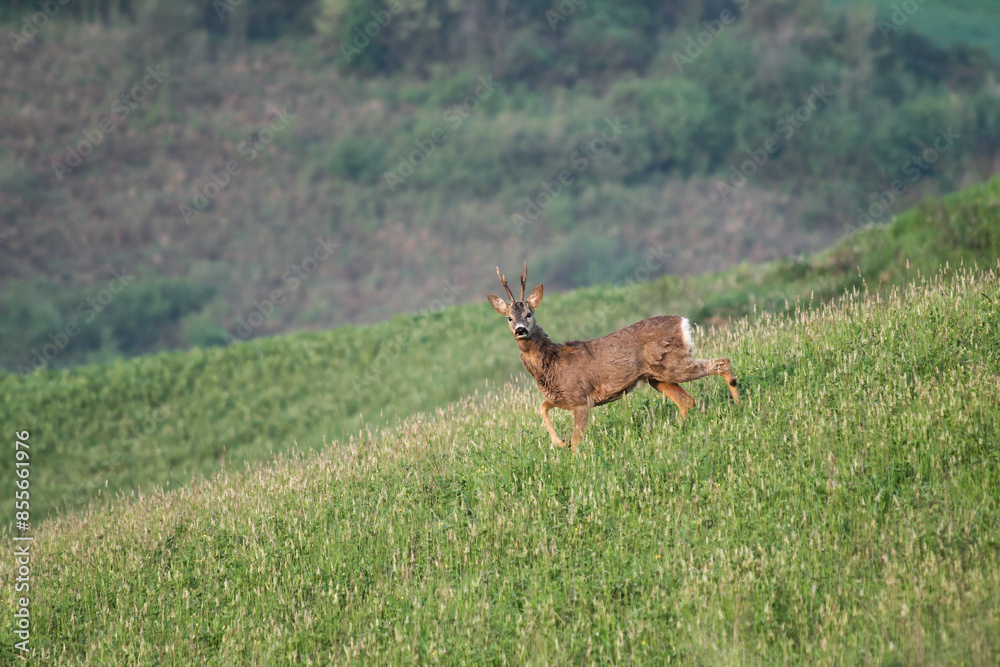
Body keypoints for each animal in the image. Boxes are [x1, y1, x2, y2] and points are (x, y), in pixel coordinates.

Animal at [488, 263, 740, 450]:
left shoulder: (580, 398)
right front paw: (559, 443)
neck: (551, 363)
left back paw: (738, 403)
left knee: (721, 362)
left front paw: (571, 455)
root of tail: (684, 322)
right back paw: (672, 430)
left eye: (529, 313)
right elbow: (542, 407)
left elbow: (577, 440)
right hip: (657, 376)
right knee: (688, 400)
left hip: (672, 365)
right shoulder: (562, 397)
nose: (521, 330)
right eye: (509, 317)